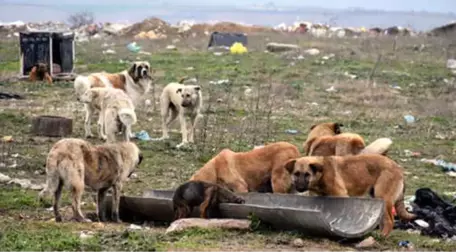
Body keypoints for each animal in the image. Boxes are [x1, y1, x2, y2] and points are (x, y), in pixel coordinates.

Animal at [284, 154, 416, 236]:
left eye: (307, 174)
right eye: (296, 174)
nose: (300, 188)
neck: (322, 173)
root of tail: (398, 167)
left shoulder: (341, 195)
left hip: (383, 197)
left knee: (390, 221)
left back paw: (382, 236)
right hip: (377, 198)